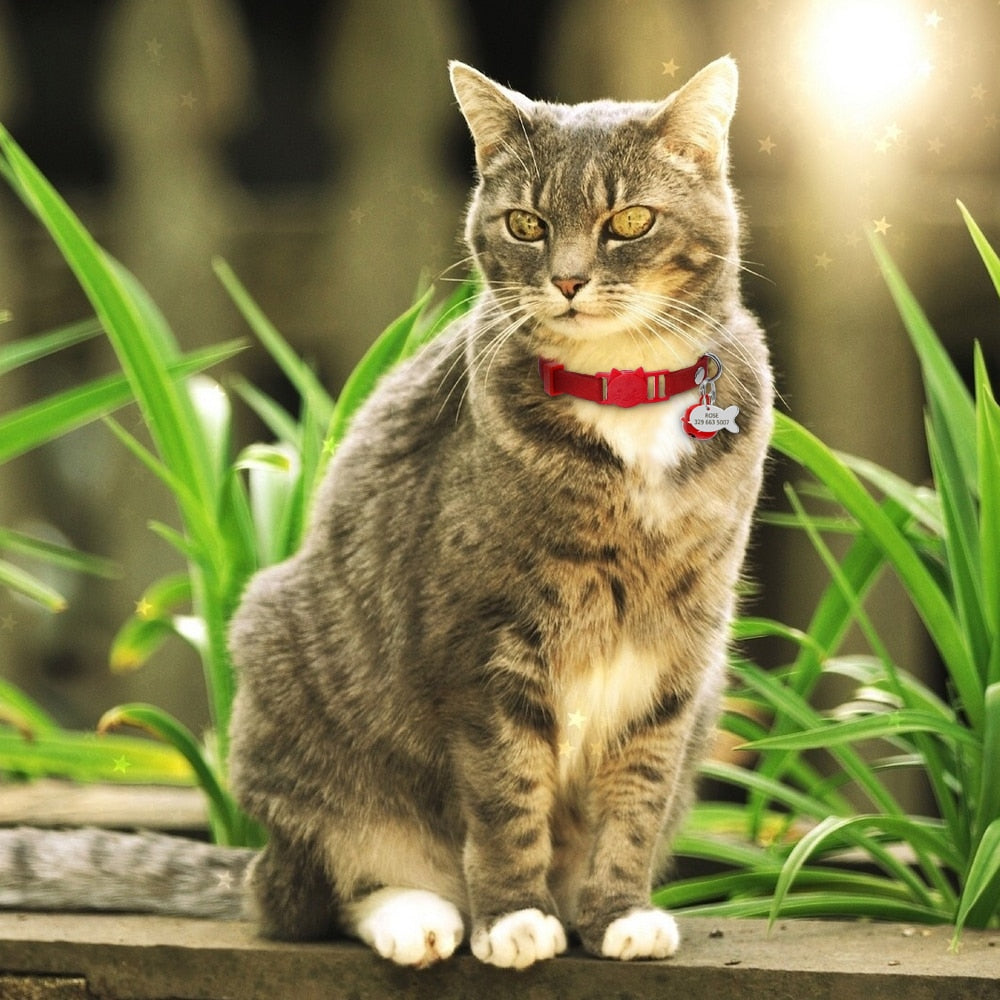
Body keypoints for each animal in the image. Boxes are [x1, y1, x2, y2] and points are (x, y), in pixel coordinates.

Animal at [0, 56, 772, 968]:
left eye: (629, 220)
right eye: (526, 223)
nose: (569, 279)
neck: (619, 397)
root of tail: (257, 861)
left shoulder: (678, 650)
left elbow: (638, 794)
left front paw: (618, 912)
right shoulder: (484, 642)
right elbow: (507, 794)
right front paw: (514, 918)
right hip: (290, 690)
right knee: (320, 890)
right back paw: (417, 916)